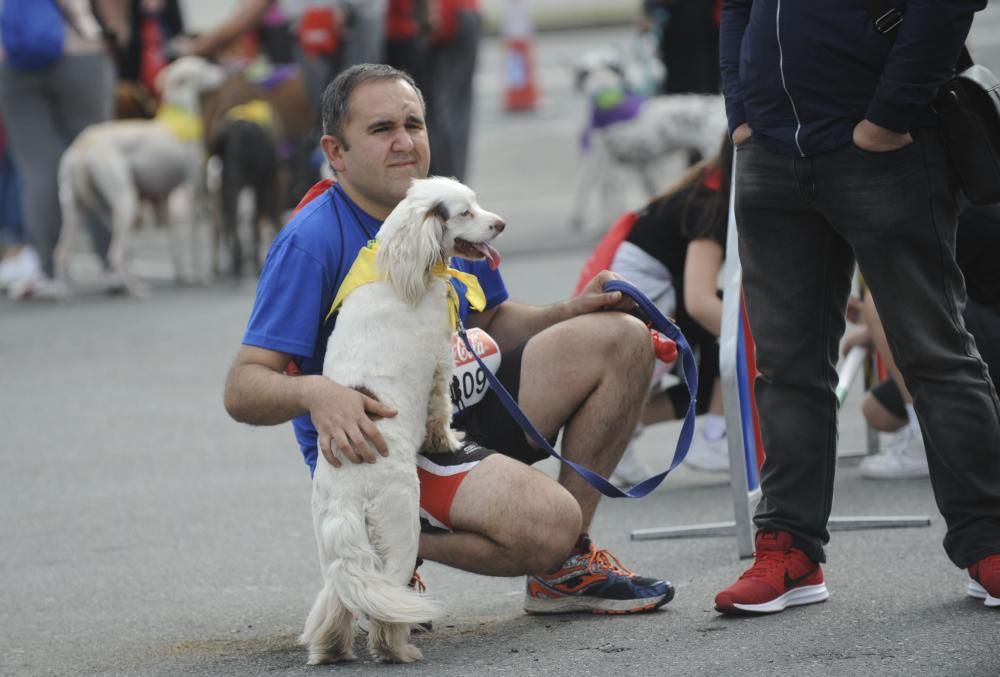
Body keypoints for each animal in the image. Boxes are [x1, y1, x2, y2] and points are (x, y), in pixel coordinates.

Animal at [55, 54, 228, 294]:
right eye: (202, 66)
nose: (223, 72)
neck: (180, 117)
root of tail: (82, 147)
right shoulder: (193, 188)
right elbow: (194, 238)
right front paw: (201, 276)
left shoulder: (164, 198)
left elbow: (174, 240)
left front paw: (182, 276)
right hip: (125, 201)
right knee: (114, 253)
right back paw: (136, 288)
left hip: (81, 208)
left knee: (62, 252)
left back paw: (64, 290)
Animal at [294, 176, 500, 664]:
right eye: (465, 212)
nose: (500, 223)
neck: (396, 268)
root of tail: (348, 492)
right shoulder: (442, 361)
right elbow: (440, 412)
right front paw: (448, 442)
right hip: (401, 525)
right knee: (386, 600)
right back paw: (398, 649)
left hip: (331, 543)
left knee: (342, 596)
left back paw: (332, 650)